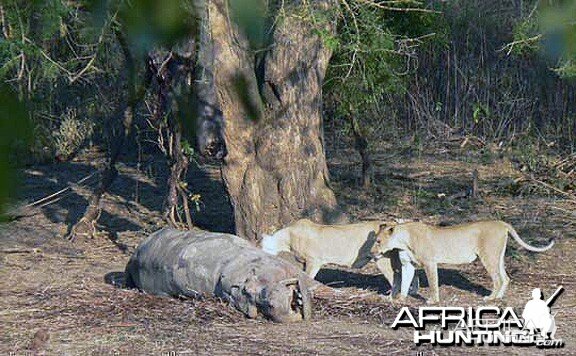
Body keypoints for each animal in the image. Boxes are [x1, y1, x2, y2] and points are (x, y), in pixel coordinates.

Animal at [368, 220, 552, 304]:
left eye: (378, 241)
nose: (371, 252)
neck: (402, 241)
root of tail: (501, 223)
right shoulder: (408, 265)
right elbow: (405, 282)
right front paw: (400, 299)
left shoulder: (429, 262)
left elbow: (433, 283)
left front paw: (433, 301)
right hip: (497, 256)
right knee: (506, 278)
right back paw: (498, 297)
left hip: (488, 256)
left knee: (498, 279)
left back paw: (490, 298)